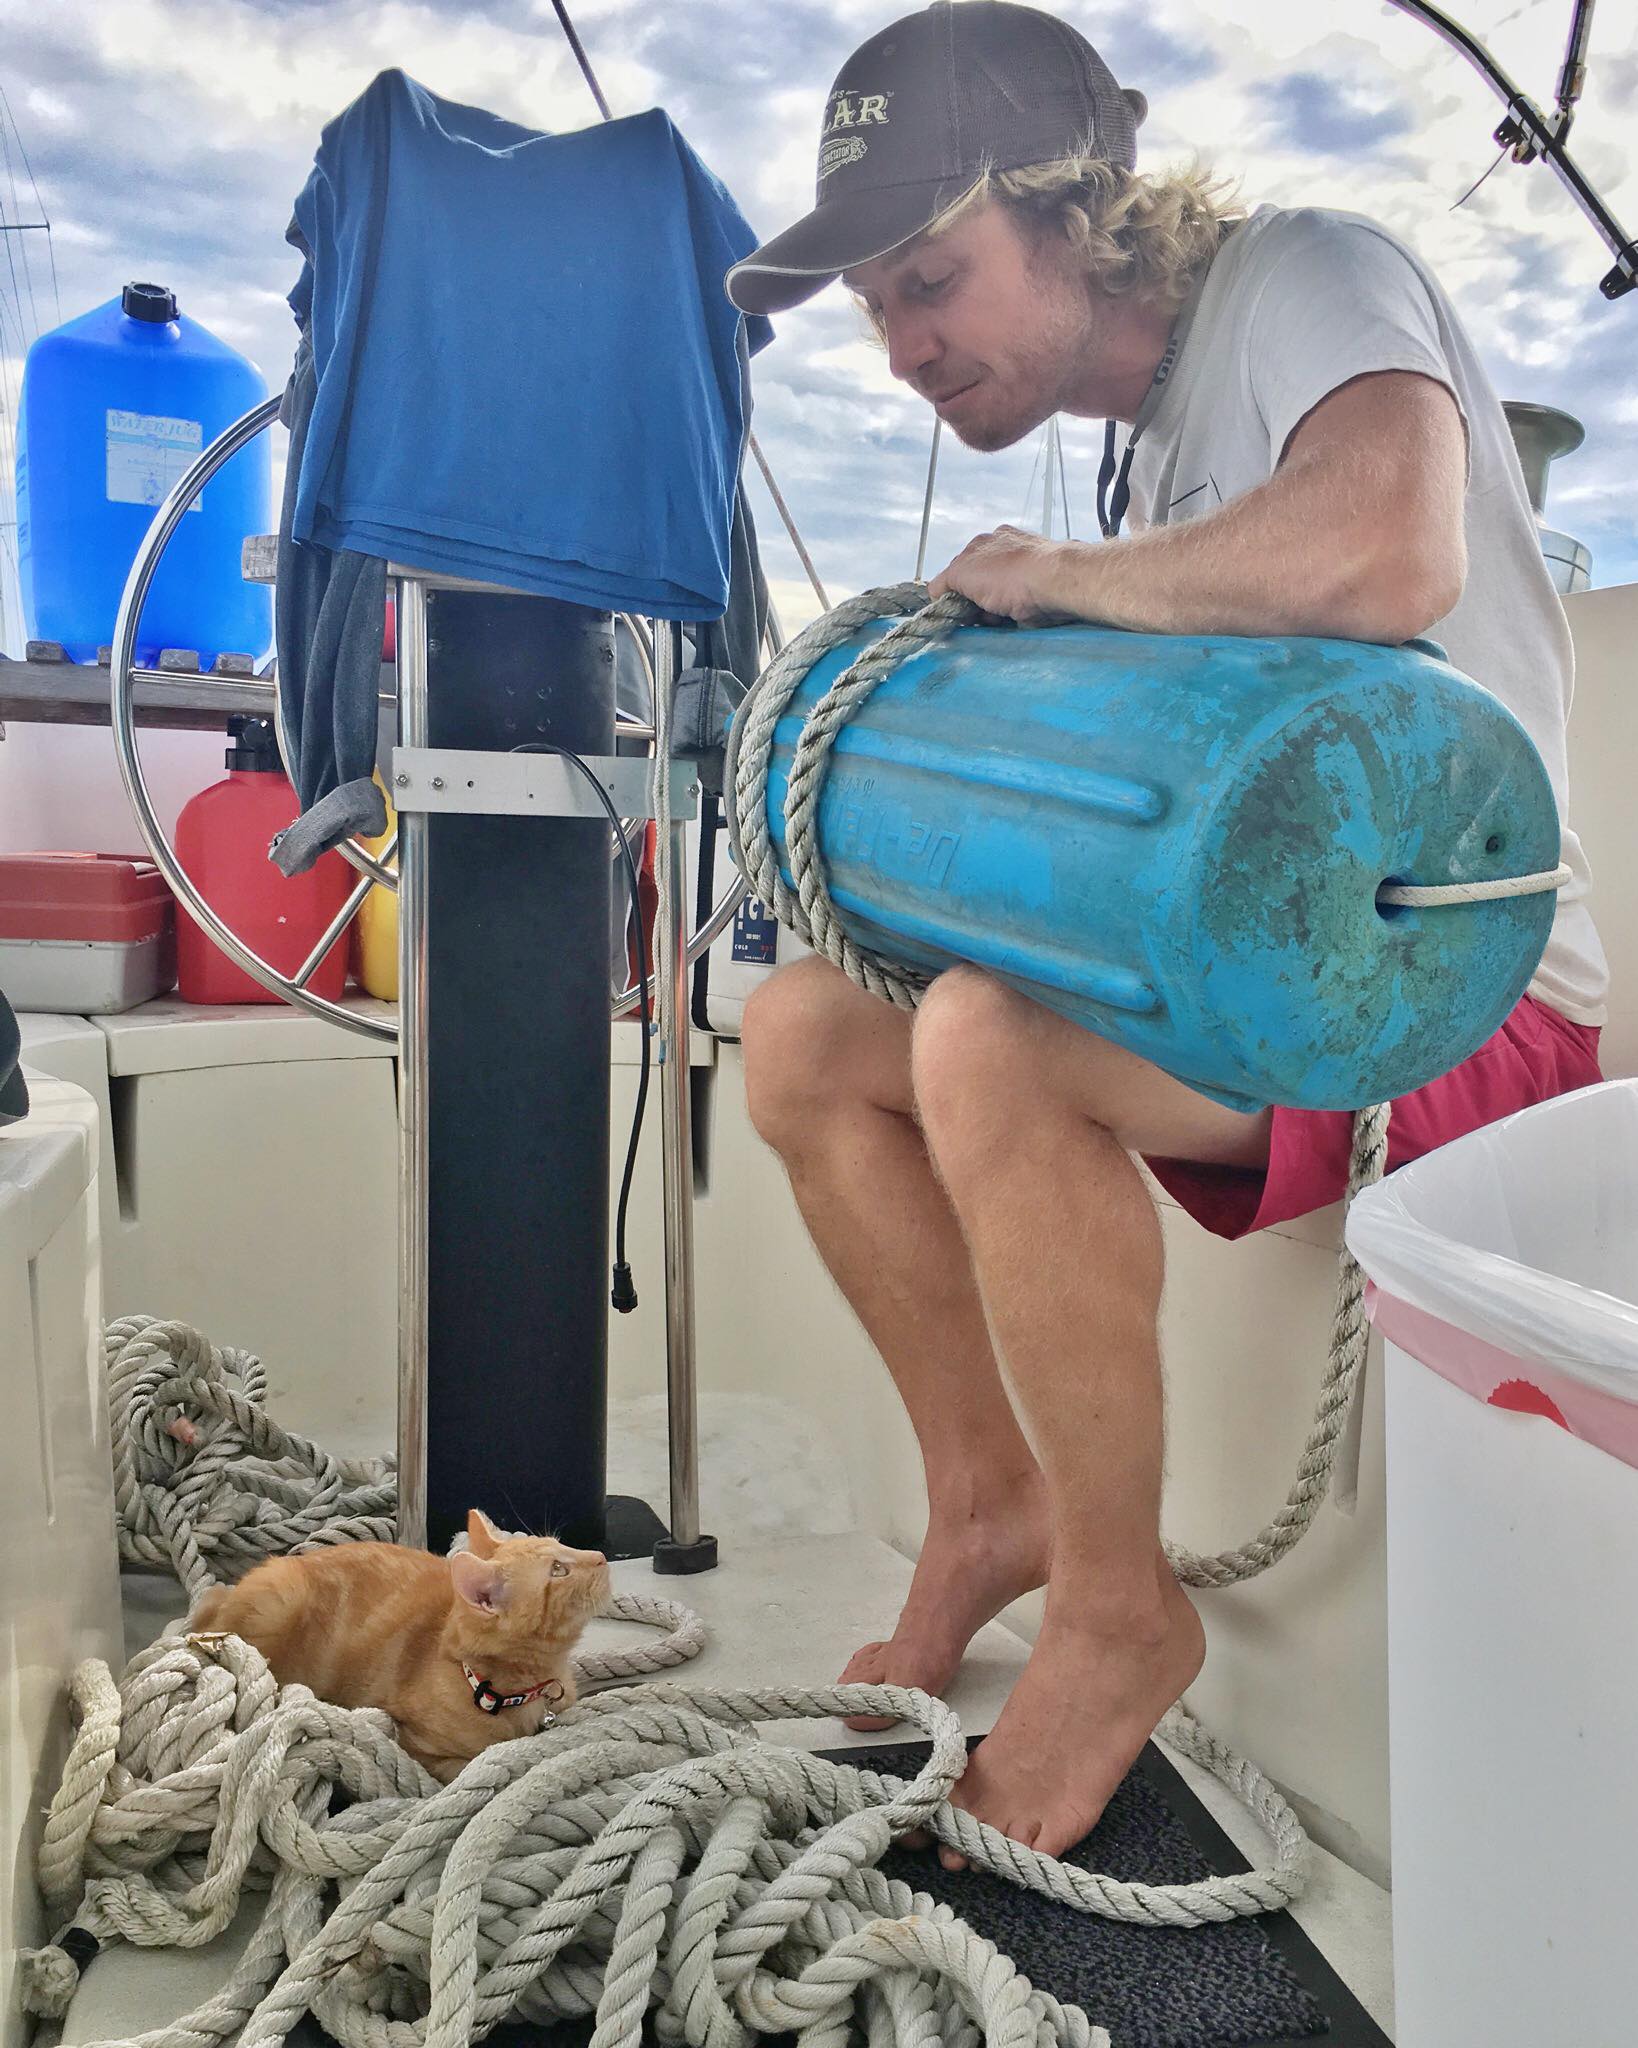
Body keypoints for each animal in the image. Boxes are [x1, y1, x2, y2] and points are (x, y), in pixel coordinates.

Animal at [192, 1507, 610, 1777]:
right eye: (559, 1570)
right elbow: (471, 1764)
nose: (602, 1556)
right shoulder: (422, 1748)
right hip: (280, 1597)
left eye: (564, 1547)